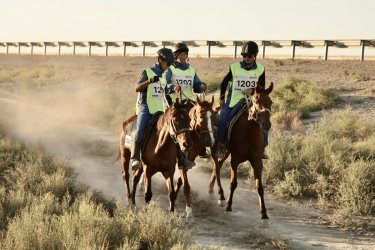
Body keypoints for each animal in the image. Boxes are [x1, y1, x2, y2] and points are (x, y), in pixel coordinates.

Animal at [209, 82, 274, 219]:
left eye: (270, 102)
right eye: (256, 100)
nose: (267, 124)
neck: (249, 132)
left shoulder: (257, 162)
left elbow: (259, 187)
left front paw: (264, 212)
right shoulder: (235, 160)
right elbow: (233, 183)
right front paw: (229, 206)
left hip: (226, 152)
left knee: (219, 165)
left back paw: (211, 187)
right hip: (215, 151)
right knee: (216, 167)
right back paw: (220, 194)